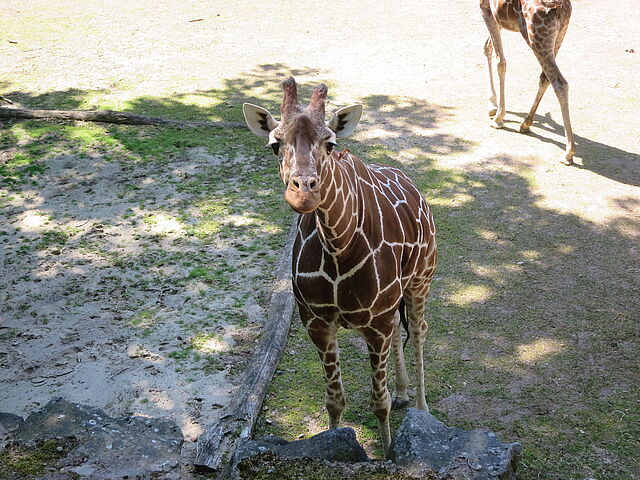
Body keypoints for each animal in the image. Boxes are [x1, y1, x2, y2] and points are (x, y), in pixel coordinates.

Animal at [243, 78, 437, 455]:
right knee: (402, 332)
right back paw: (404, 393)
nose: (304, 192)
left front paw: (388, 452)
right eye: (275, 144)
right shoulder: (317, 322)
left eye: (330, 143)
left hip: (422, 278)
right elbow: (334, 400)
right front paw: (332, 444)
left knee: (419, 331)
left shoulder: (376, 325)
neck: (338, 247)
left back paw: (421, 408)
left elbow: (379, 402)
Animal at [480, 0, 576, 164]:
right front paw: (492, 105)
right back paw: (526, 123)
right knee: (545, 78)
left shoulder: (486, 9)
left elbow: (501, 62)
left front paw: (498, 117)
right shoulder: (497, 18)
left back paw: (568, 153)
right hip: (559, 37)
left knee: (559, 83)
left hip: (536, 38)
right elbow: (488, 47)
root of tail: (561, 9)